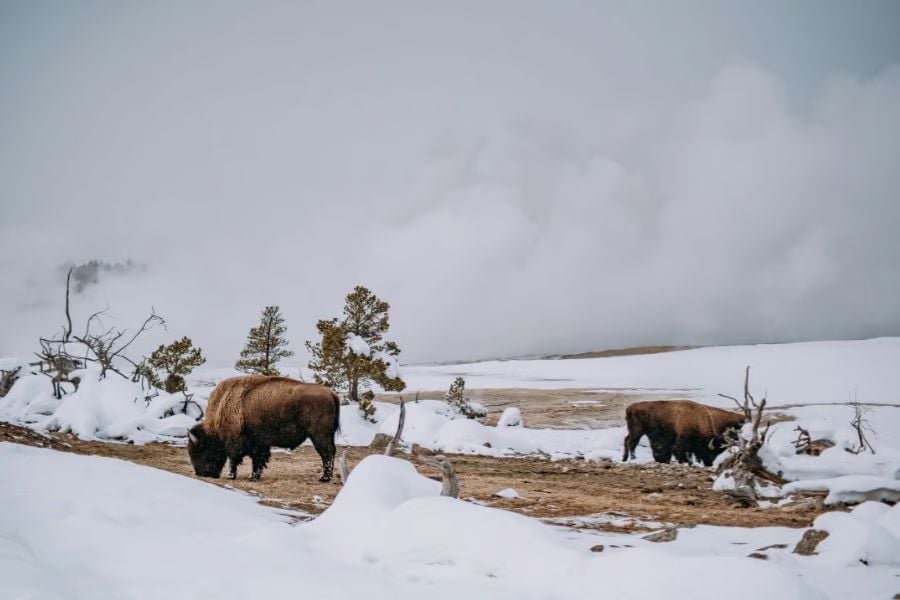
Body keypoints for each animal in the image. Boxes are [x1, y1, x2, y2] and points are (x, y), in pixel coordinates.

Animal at [188, 375, 340, 481]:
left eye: (200, 450)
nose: (202, 473)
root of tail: (331, 393)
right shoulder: (259, 444)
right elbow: (257, 460)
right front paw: (253, 476)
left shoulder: (234, 443)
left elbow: (233, 460)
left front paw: (231, 476)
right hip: (327, 435)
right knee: (331, 452)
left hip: (319, 435)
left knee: (326, 453)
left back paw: (324, 478)